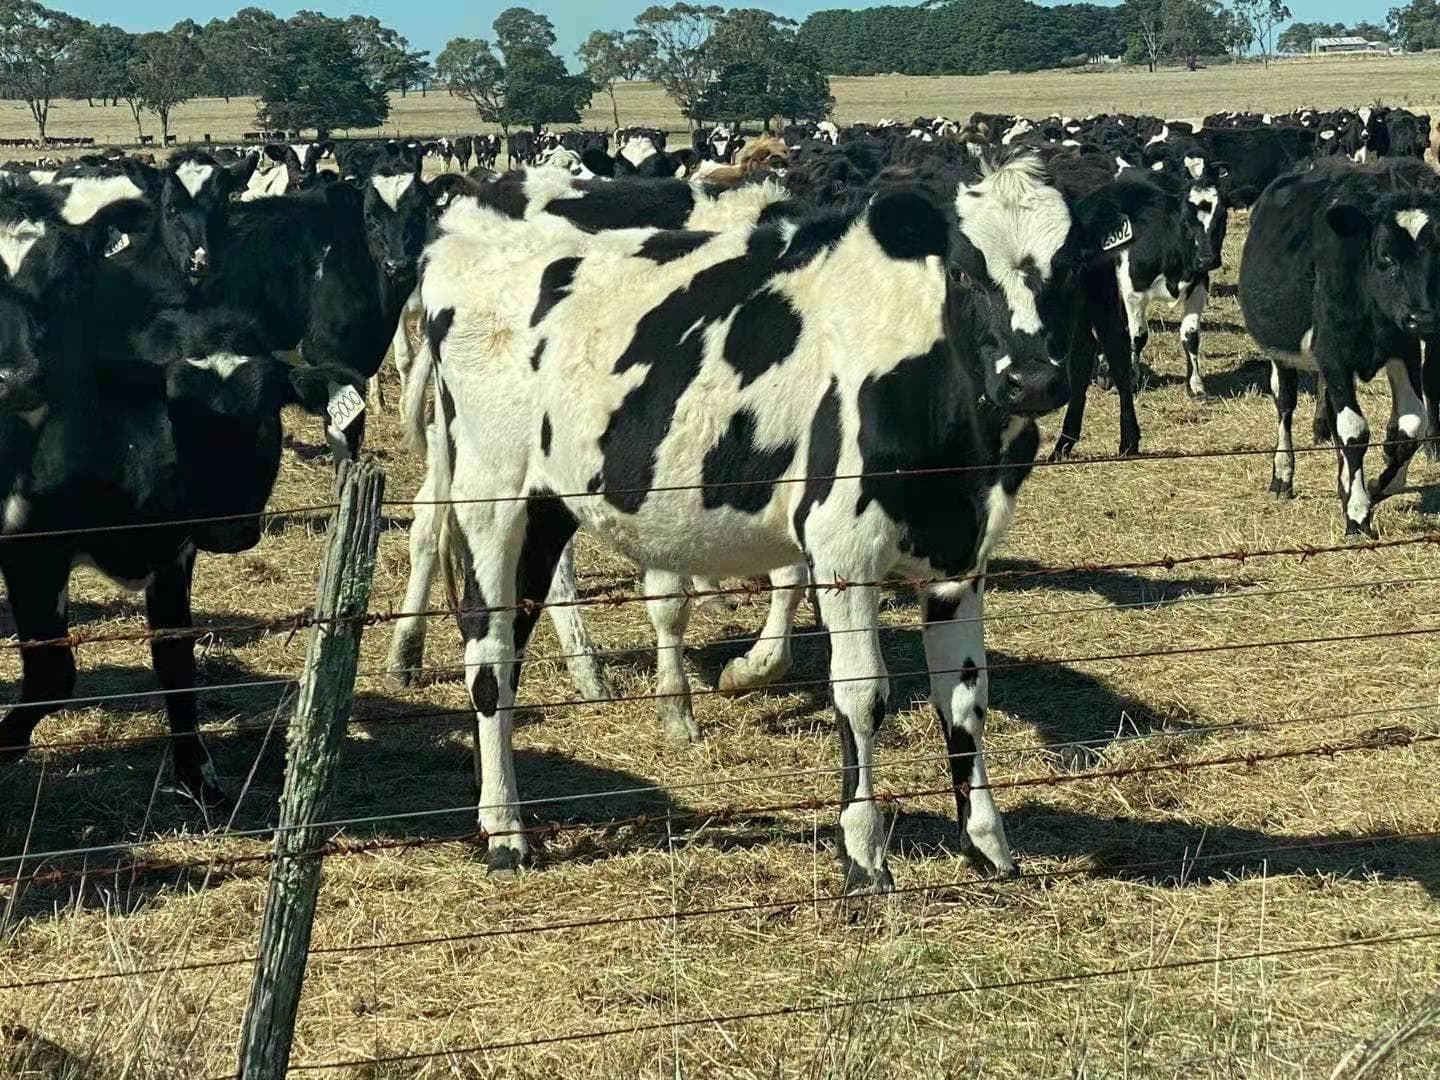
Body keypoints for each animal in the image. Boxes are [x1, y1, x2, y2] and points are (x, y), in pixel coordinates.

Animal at [406, 150, 1129, 890]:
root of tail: (463, 228)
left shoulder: (960, 555)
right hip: (491, 496)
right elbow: (861, 692)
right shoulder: (843, 549)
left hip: (548, 506)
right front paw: (863, 855)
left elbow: (962, 697)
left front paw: (987, 844)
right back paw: (505, 833)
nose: (1032, 380)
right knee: (488, 655)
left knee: (514, 644)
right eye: (962, 270)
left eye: (1074, 264)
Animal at [1239, 157, 1439, 535]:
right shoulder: (1334, 355)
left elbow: (1411, 426)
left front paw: (1375, 487)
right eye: (1385, 258)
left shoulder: (1403, 349)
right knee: (1285, 405)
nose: (1422, 318)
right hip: (1282, 355)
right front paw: (1359, 514)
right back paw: (1282, 475)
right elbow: (1354, 431)